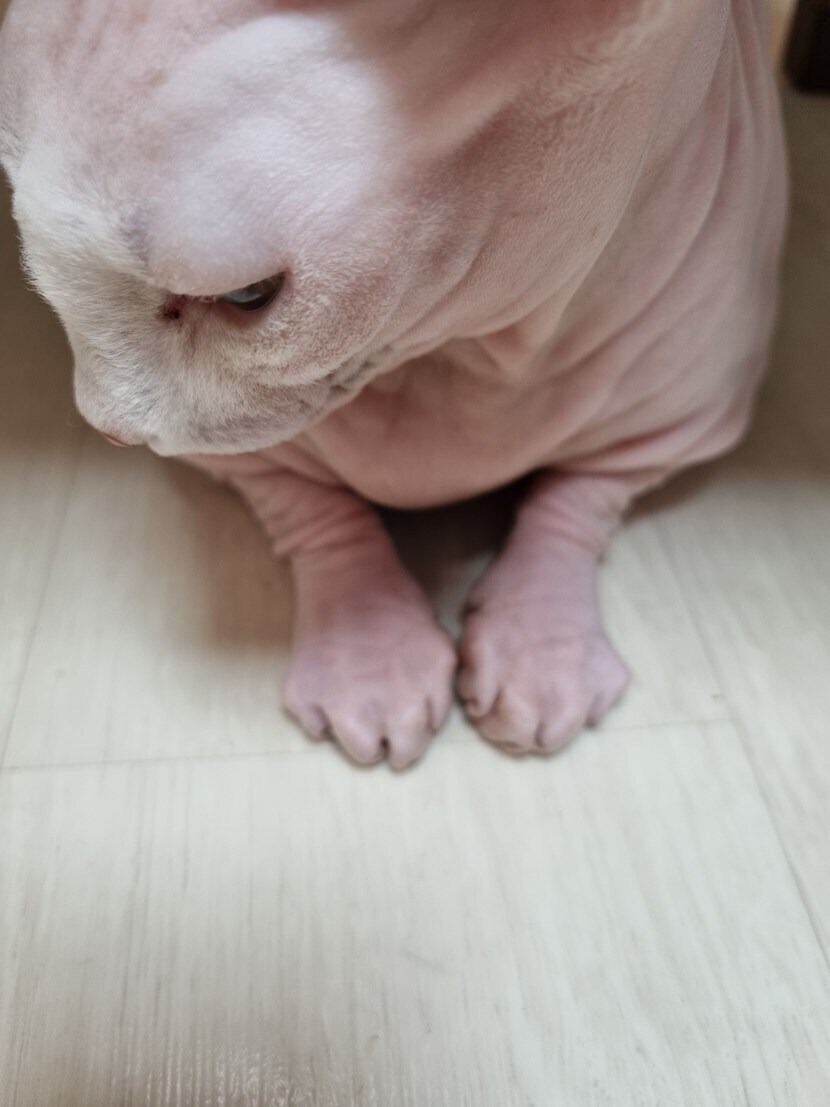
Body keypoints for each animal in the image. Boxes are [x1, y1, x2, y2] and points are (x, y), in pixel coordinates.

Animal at [0, 0, 787, 767]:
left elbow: (583, 495)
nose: (108, 426)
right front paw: (370, 657)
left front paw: (543, 649)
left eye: (248, 294)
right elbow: (310, 506)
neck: (467, 350)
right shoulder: (236, 454)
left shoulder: (686, 419)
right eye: (28, 239)